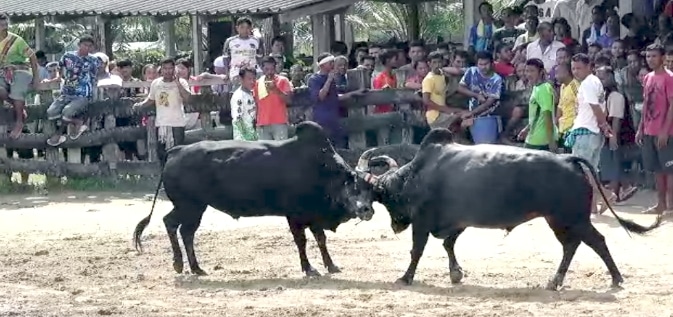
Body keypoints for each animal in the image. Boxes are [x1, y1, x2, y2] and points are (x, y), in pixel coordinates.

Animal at [131, 121, 378, 276]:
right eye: (352, 185)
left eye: (371, 189)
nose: (367, 210)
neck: (321, 168)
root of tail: (176, 150)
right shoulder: (294, 215)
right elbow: (302, 241)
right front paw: (309, 269)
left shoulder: (313, 215)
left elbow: (321, 240)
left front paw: (331, 265)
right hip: (189, 205)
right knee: (172, 224)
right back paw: (179, 264)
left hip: (196, 208)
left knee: (186, 232)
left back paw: (196, 268)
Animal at [356, 128, 660, 288]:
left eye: (384, 198)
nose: (396, 225)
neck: (418, 174)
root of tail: (569, 159)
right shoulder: (456, 222)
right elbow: (448, 245)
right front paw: (456, 274)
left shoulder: (422, 223)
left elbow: (417, 251)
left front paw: (406, 277)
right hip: (558, 220)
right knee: (571, 246)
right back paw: (556, 280)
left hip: (573, 219)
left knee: (596, 241)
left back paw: (616, 278)